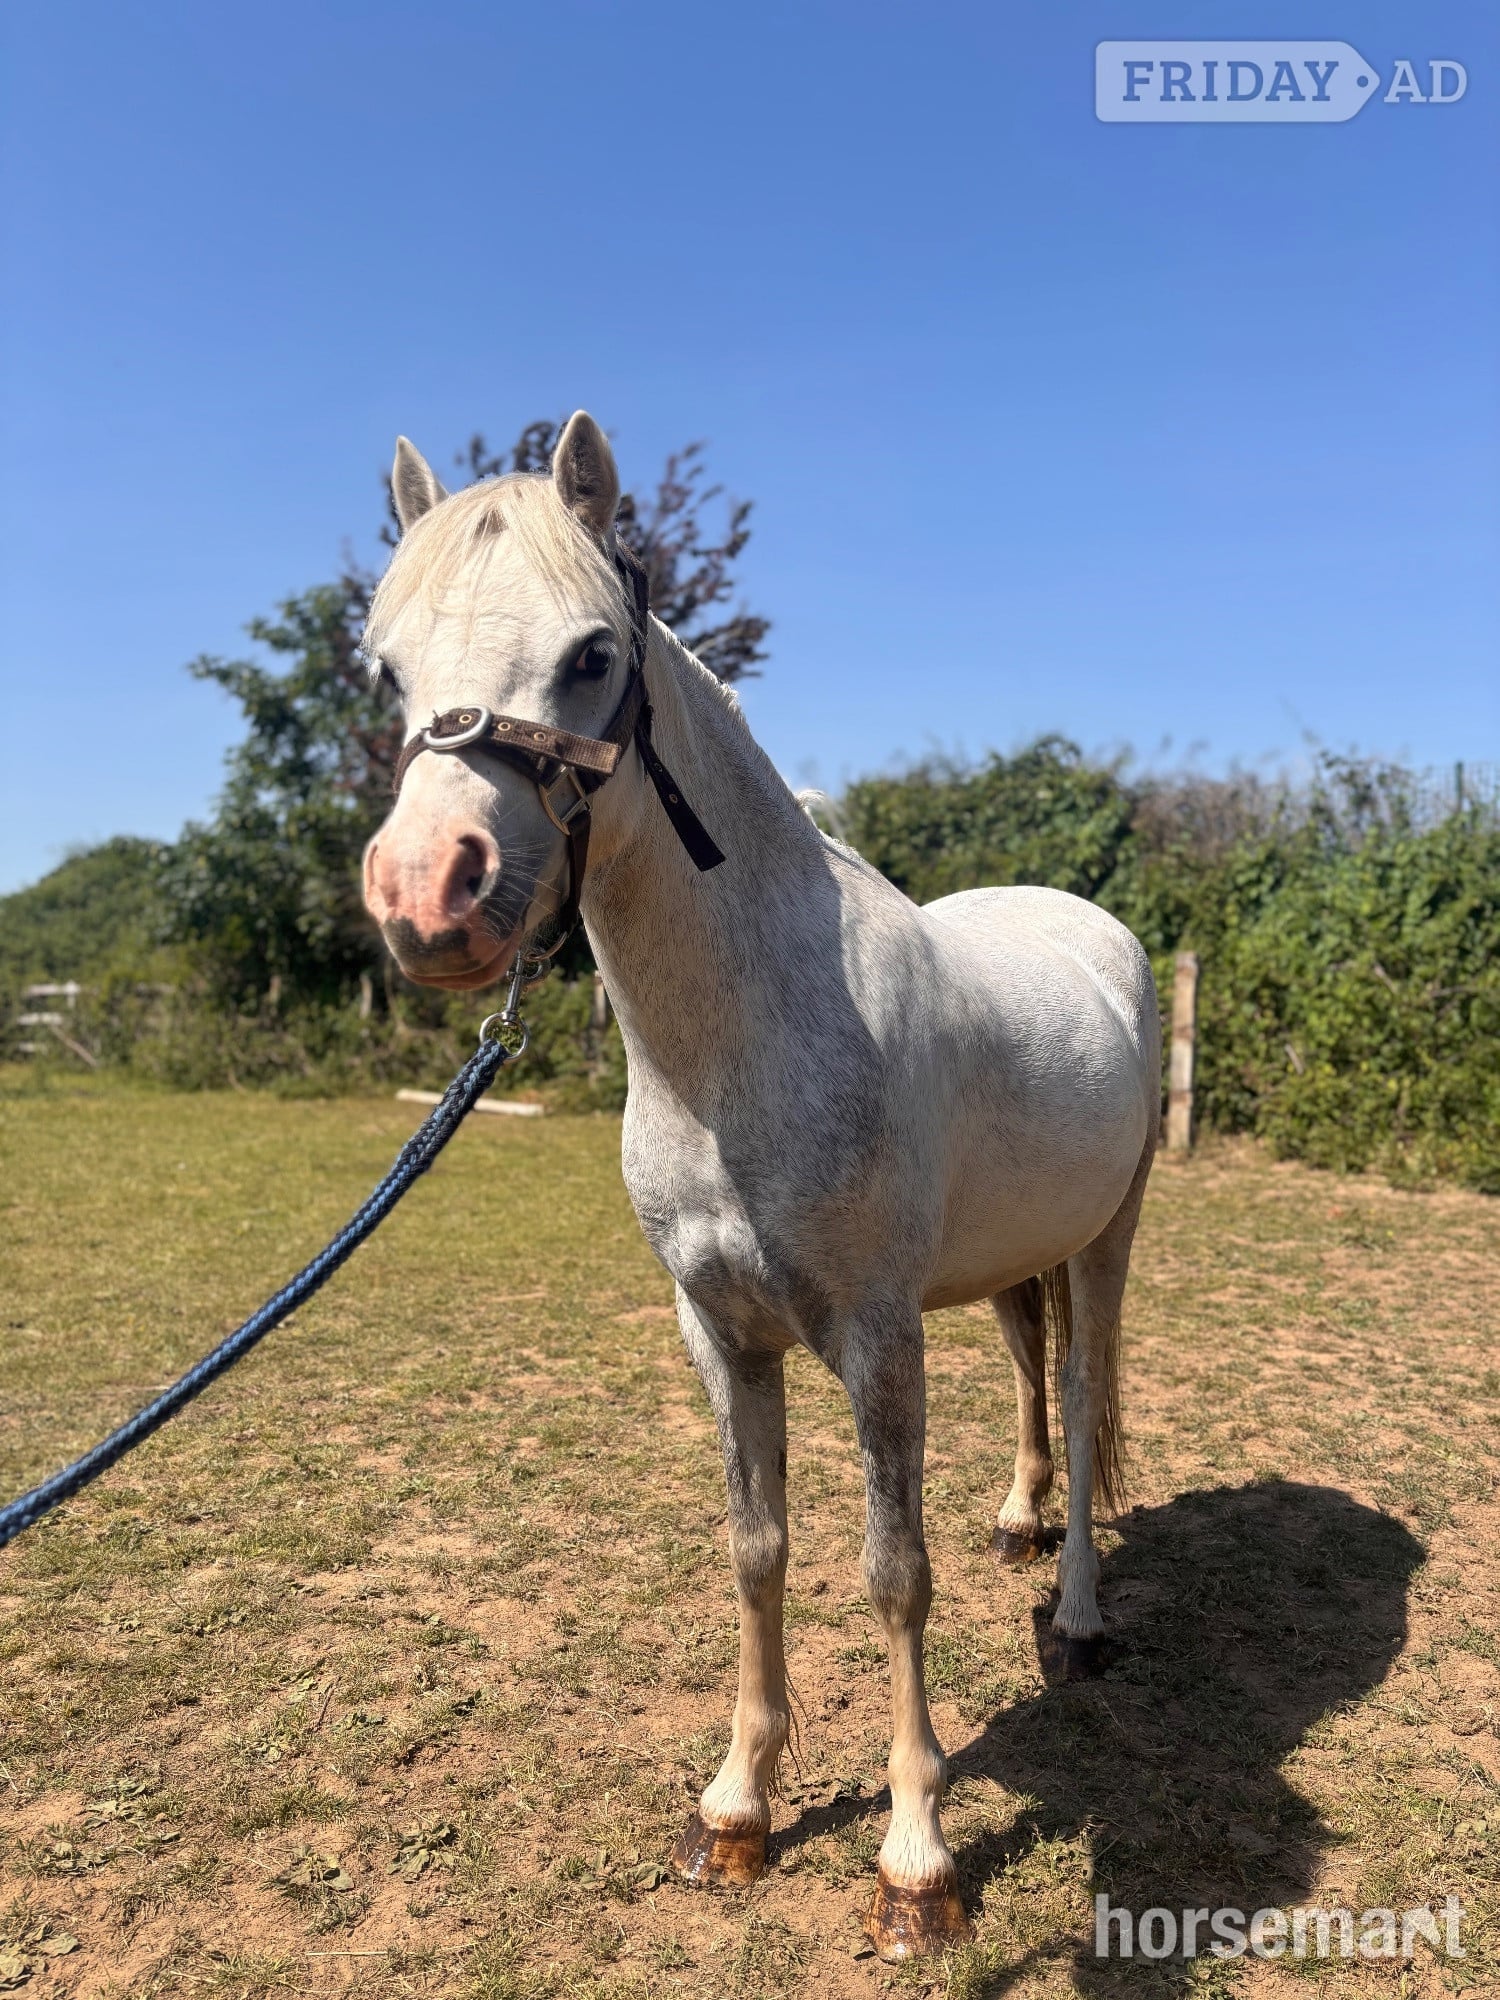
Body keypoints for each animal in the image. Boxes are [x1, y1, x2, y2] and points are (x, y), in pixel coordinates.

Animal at [360, 413, 1161, 1959]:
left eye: (590, 654)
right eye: (387, 667)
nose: (429, 895)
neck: (749, 1040)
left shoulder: (877, 1338)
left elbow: (894, 1573)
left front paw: (915, 1862)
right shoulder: (721, 1332)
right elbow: (756, 1548)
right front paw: (736, 1810)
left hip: (1109, 1238)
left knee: (1089, 1392)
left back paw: (1083, 1617)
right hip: (1006, 1260)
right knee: (1033, 1372)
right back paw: (1022, 1521)